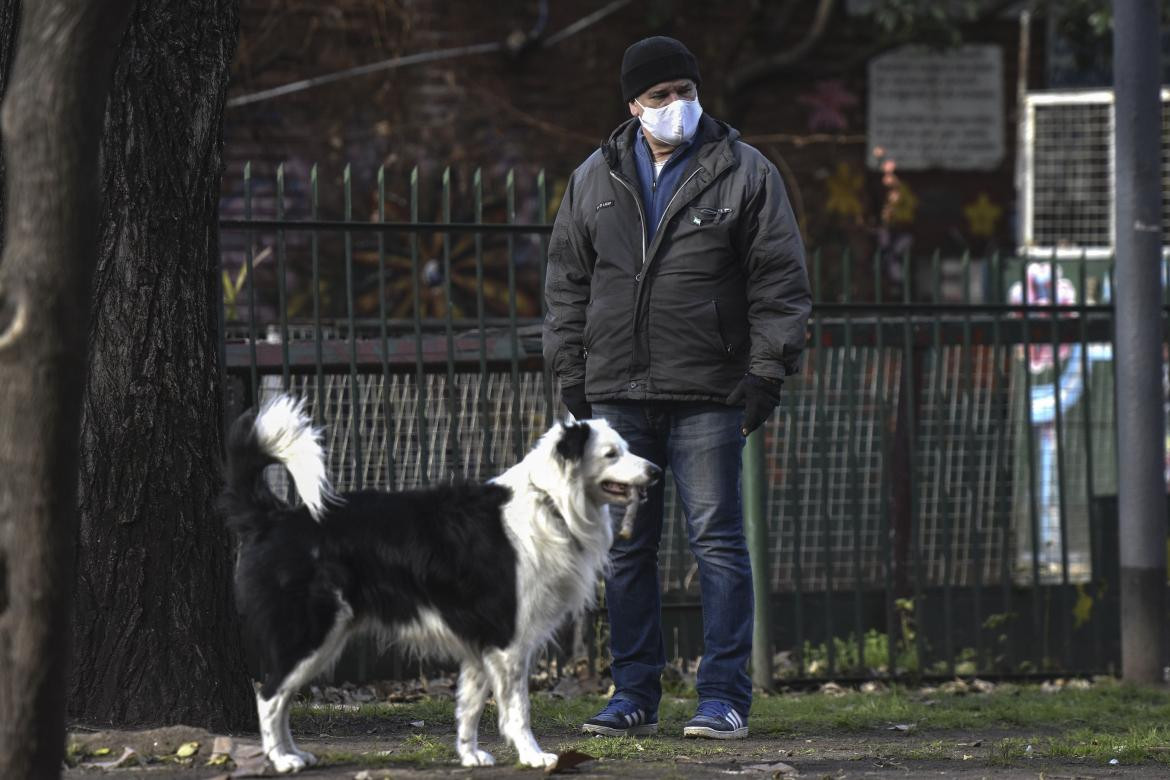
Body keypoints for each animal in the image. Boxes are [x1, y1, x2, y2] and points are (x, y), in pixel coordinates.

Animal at [219, 399, 659, 771]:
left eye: (625, 448)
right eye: (612, 454)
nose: (655, 471)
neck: (549, 501)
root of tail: (274, 517)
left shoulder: (481, 643)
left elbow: (469, 707)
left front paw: (470, 755)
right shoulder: (509, 640)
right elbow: (517, 709)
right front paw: (533, 756)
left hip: (324, 637)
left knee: (281, 698)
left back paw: (295, 753)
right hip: (309, 632)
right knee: (269, 695)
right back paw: (281, 760)